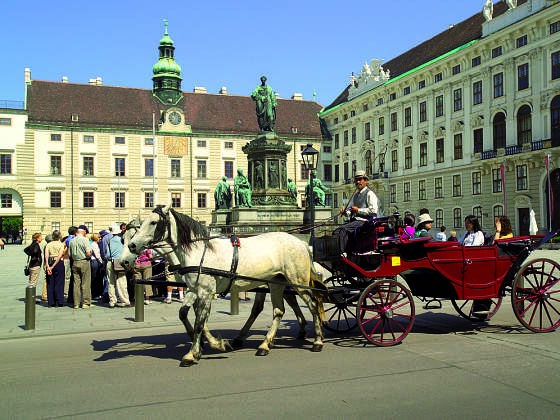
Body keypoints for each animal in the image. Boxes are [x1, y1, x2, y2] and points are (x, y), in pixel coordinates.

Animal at [120, 205, 326, 366]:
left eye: (153, 222)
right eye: (124, 237)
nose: (131, 248)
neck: (198, 251)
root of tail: (302, 243)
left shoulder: (205, 291)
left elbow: (199, 322)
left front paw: (193, 353)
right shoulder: (194, 289)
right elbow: (189, 316)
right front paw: (210, 344)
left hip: (298, 281)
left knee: (313, 304)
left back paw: (317, 341)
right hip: (276, 283)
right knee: (278, 310)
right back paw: (265, 344)